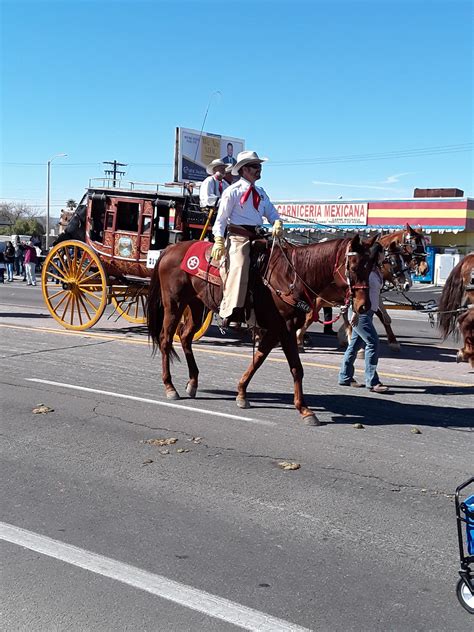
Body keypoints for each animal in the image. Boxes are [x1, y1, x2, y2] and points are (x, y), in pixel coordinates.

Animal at [146, 233, 380, 424]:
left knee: (185, 337)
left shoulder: (275, 331)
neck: (292, 277)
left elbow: (259, 358)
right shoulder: (284, 330)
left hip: (196, 305)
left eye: (370, 267)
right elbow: (296, 368)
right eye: (352, 267)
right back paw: (170, 387)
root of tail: (170, 248)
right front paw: (305, 409)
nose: (364, 306)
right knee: (166, 339)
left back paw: (193, 382)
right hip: (174, 304)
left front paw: (242, 393)